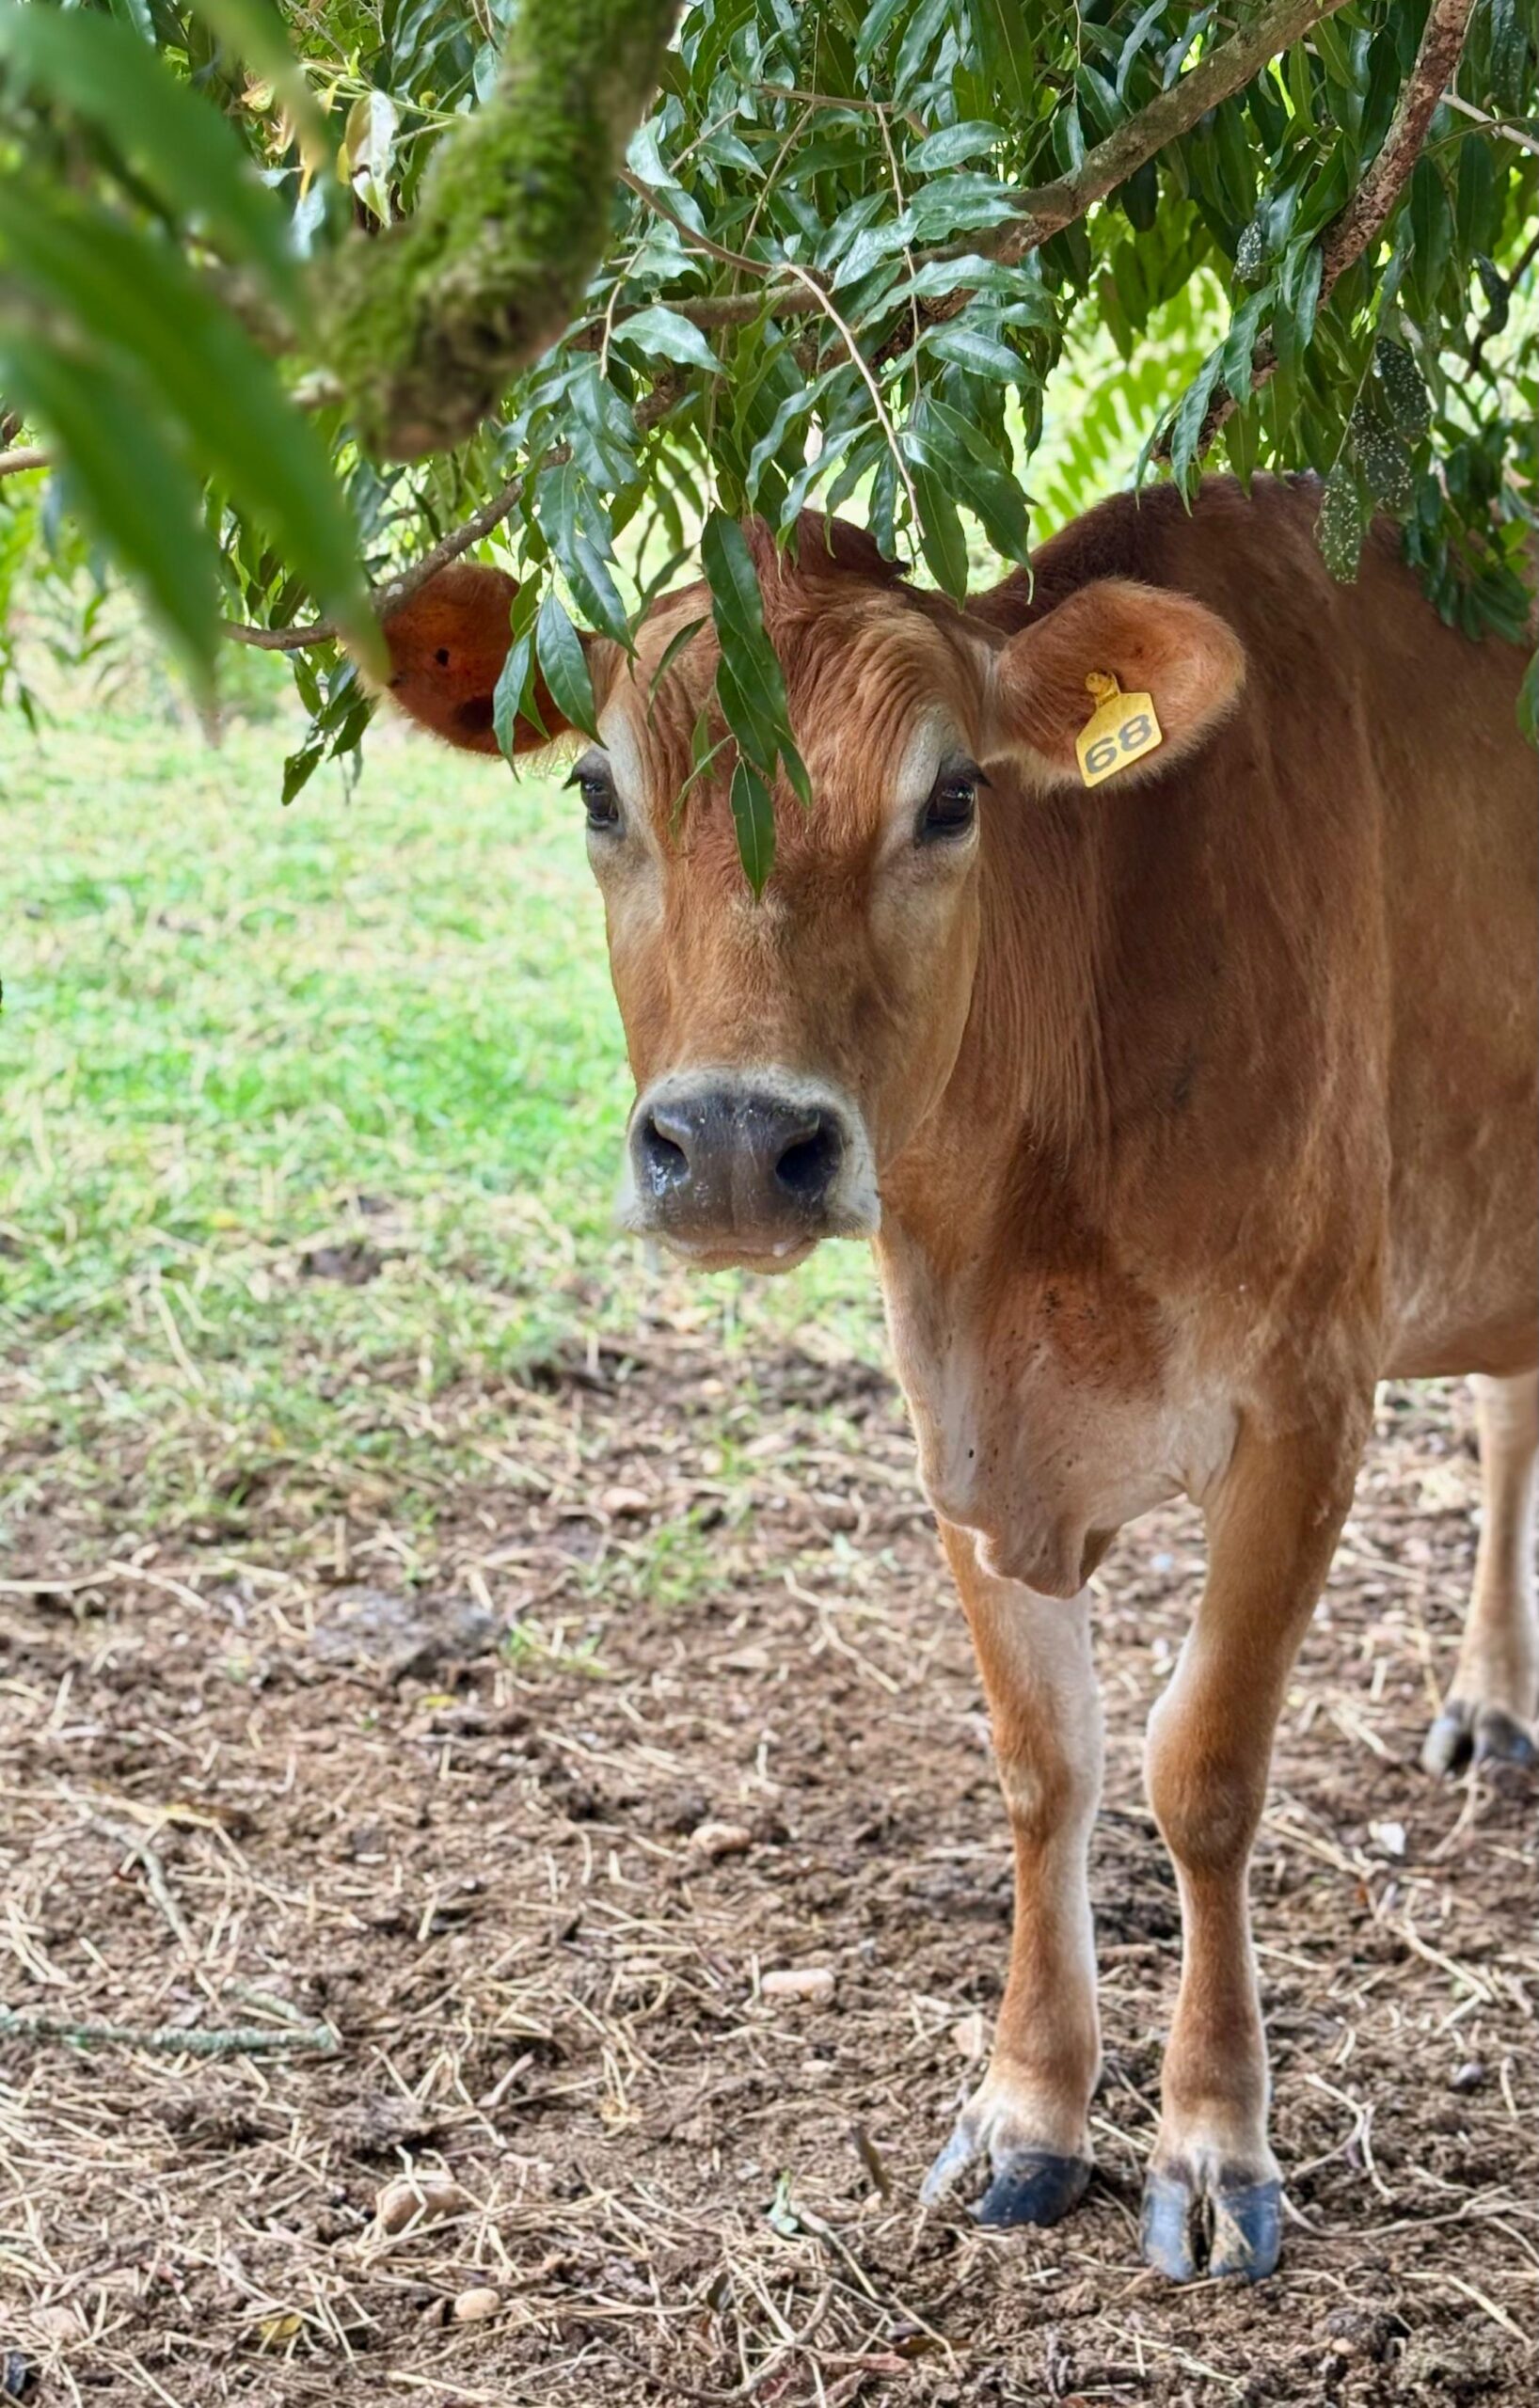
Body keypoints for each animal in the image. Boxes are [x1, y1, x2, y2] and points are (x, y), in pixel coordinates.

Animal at [382, 474, 1538, 2281]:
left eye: (949, 796)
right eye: (595, 787)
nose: (733, 1142)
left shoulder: (1306, 1404)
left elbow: (1203, 1773)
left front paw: (1215, 2144)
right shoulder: (961, 1424)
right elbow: (1045, 1765)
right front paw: (1028, 2113)